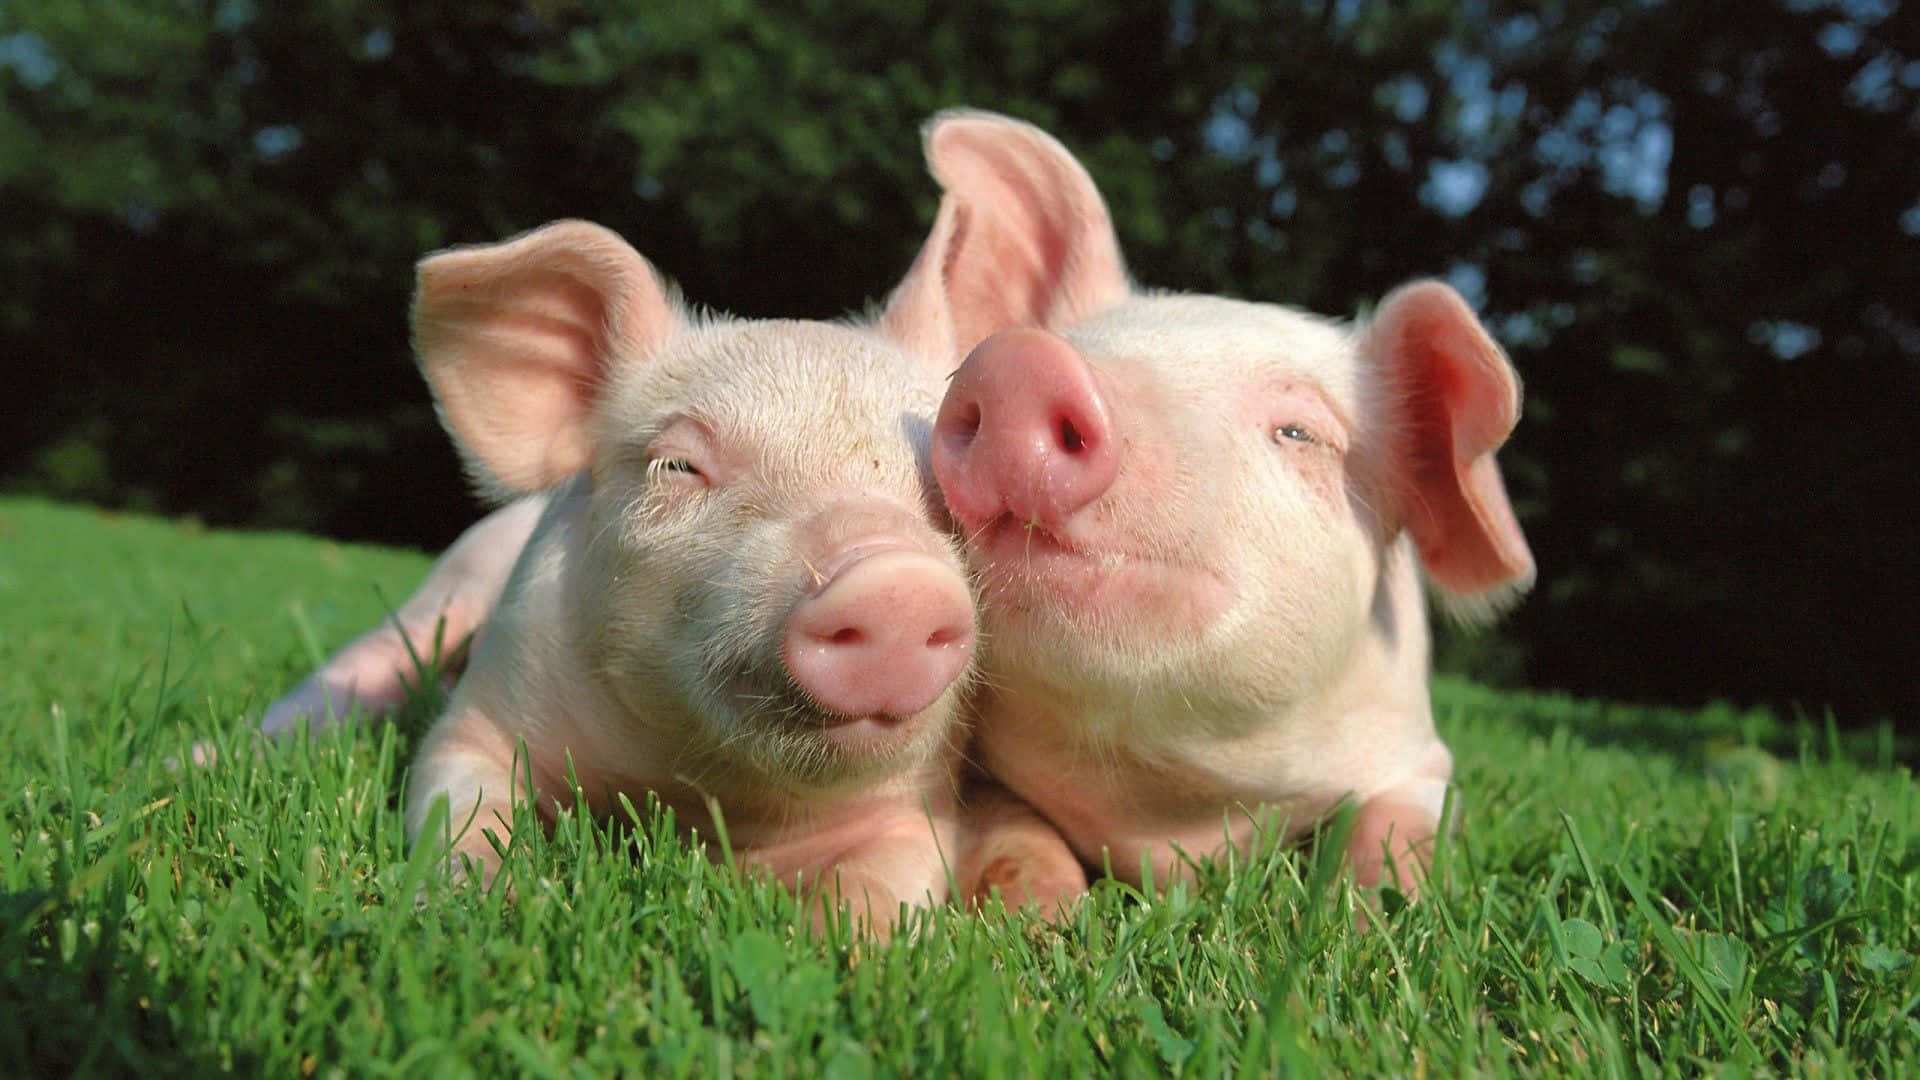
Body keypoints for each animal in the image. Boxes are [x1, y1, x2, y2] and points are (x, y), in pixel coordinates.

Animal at [390, 218, 998, 933]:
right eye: (679, 465)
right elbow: (457, 803)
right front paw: (486, 905)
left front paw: (834, 944)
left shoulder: (919, 810)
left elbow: (885, 889)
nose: (895, 581)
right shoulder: (484, 709)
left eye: (944, 488)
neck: (698, 796)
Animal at [904, 110, 1537, 895]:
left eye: (1299, 432)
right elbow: (1017, 834)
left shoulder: (1420, 754)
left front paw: (1380, 907)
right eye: (1068, 344)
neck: (1176, 815)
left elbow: (1397, 831)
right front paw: (1044, 913)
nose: (1021, 362)